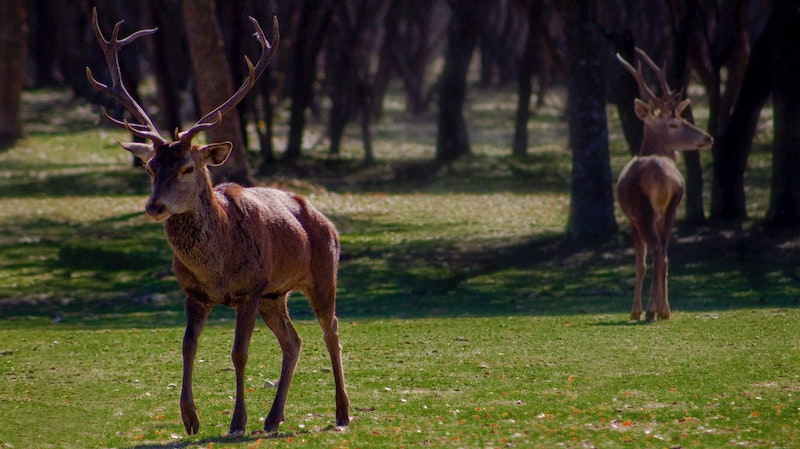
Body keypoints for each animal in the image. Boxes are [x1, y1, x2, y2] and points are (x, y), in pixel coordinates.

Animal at [87, 7, 350, 434]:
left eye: (188, 168)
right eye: (150, 166)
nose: (154, 206)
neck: (217, 269)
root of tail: (327, 221)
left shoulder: (251, 288)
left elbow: (239, 353)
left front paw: (237, 421)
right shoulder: (195, 293)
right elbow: (186, 347)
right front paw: (190, 418)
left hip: (321, 274)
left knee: (332, 331)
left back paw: (342, 412)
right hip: (276, 295)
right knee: (293, 341)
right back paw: (273, 418)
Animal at [616, 48, 716, 322]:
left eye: (681, 117)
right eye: (674, 123)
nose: (708, 138)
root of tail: (664, 178)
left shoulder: (632, 219)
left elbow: (640, 262)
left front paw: (637, 310)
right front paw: (653, 307)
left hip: (644, 211)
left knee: (657, 252)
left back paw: (652, 310)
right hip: (671, 208)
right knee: (665, 254)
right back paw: (665, 309)